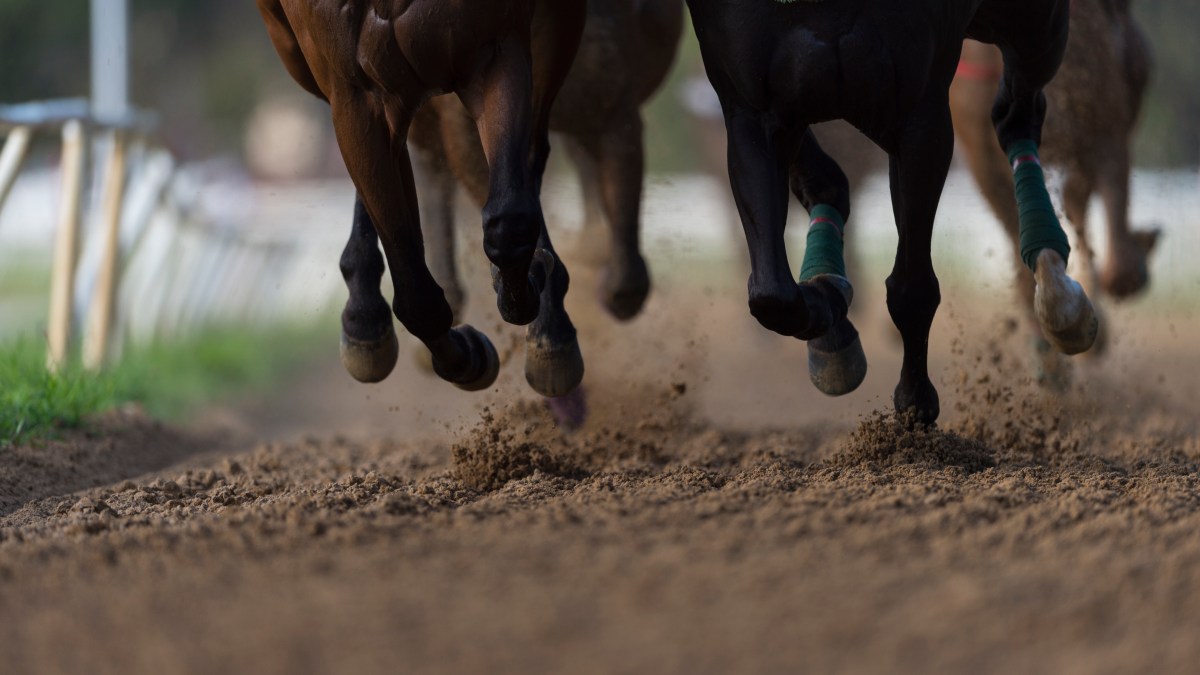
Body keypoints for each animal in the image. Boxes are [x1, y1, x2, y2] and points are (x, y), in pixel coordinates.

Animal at [256, 0, 587, 398]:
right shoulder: (354, 89)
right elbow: (416, 294)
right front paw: (467, 357)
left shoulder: (496, 47)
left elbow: (510, 220)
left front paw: (537, 293)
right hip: (296, 51)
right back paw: (366, 318)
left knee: (528, 157)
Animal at [686, 0, 1097, 424]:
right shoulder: (752, 108)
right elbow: (773, 296)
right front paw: (831, 314)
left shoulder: (919, 113)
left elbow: (911, 287)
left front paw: (915, 402)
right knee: (825, 182)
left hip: (1032, 25)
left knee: (1016, 113)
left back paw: (1059, 293)